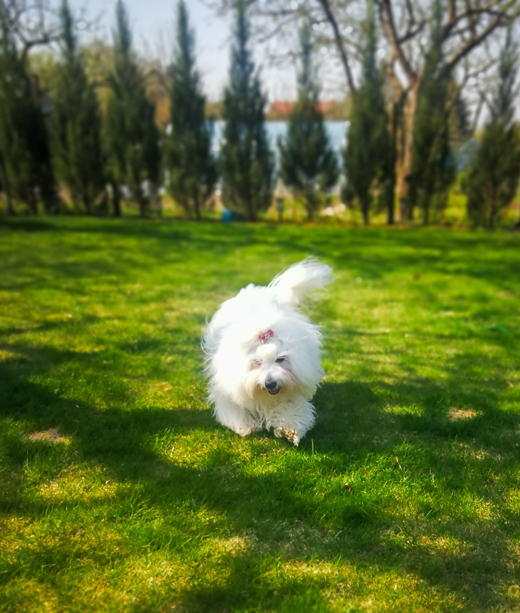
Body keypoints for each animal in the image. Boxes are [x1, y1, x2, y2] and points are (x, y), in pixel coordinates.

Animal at [203, 258, 334, 444]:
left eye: (280, 359)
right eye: (256, 362)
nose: (270, 383)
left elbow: (291, 407)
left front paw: (290, 429)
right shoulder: (229, 387)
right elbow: (235, 408)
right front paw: (246, 425)